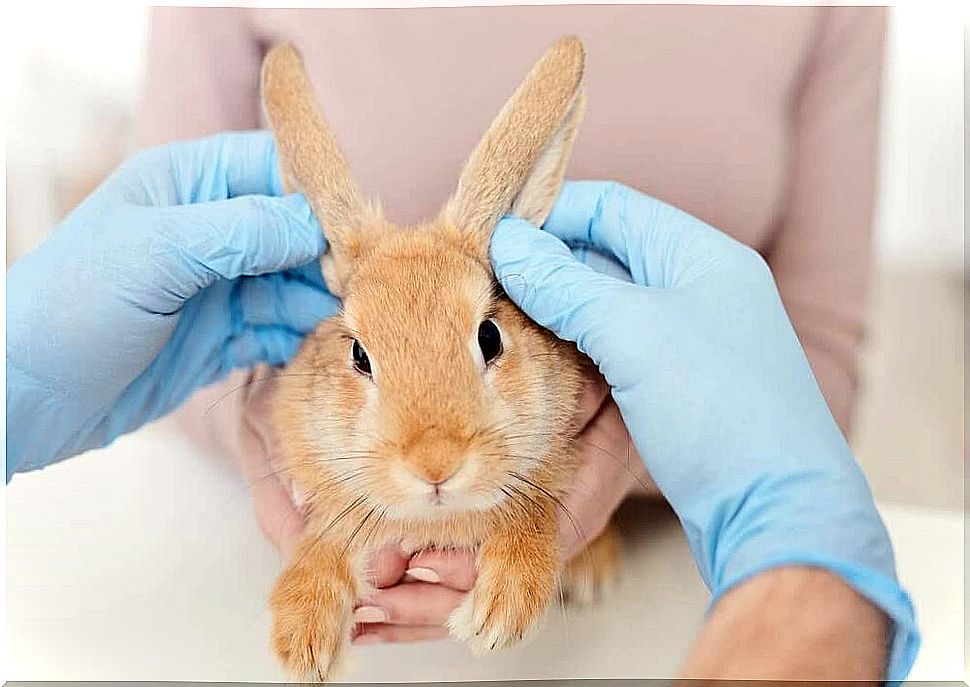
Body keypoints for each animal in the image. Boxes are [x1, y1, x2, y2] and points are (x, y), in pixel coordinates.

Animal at [258, 37, 620, 684]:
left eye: (490, 337)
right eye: (359, 355)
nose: (435, 464)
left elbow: (532, 509)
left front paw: (500, 614)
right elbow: (323, 541)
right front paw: (302, 639)